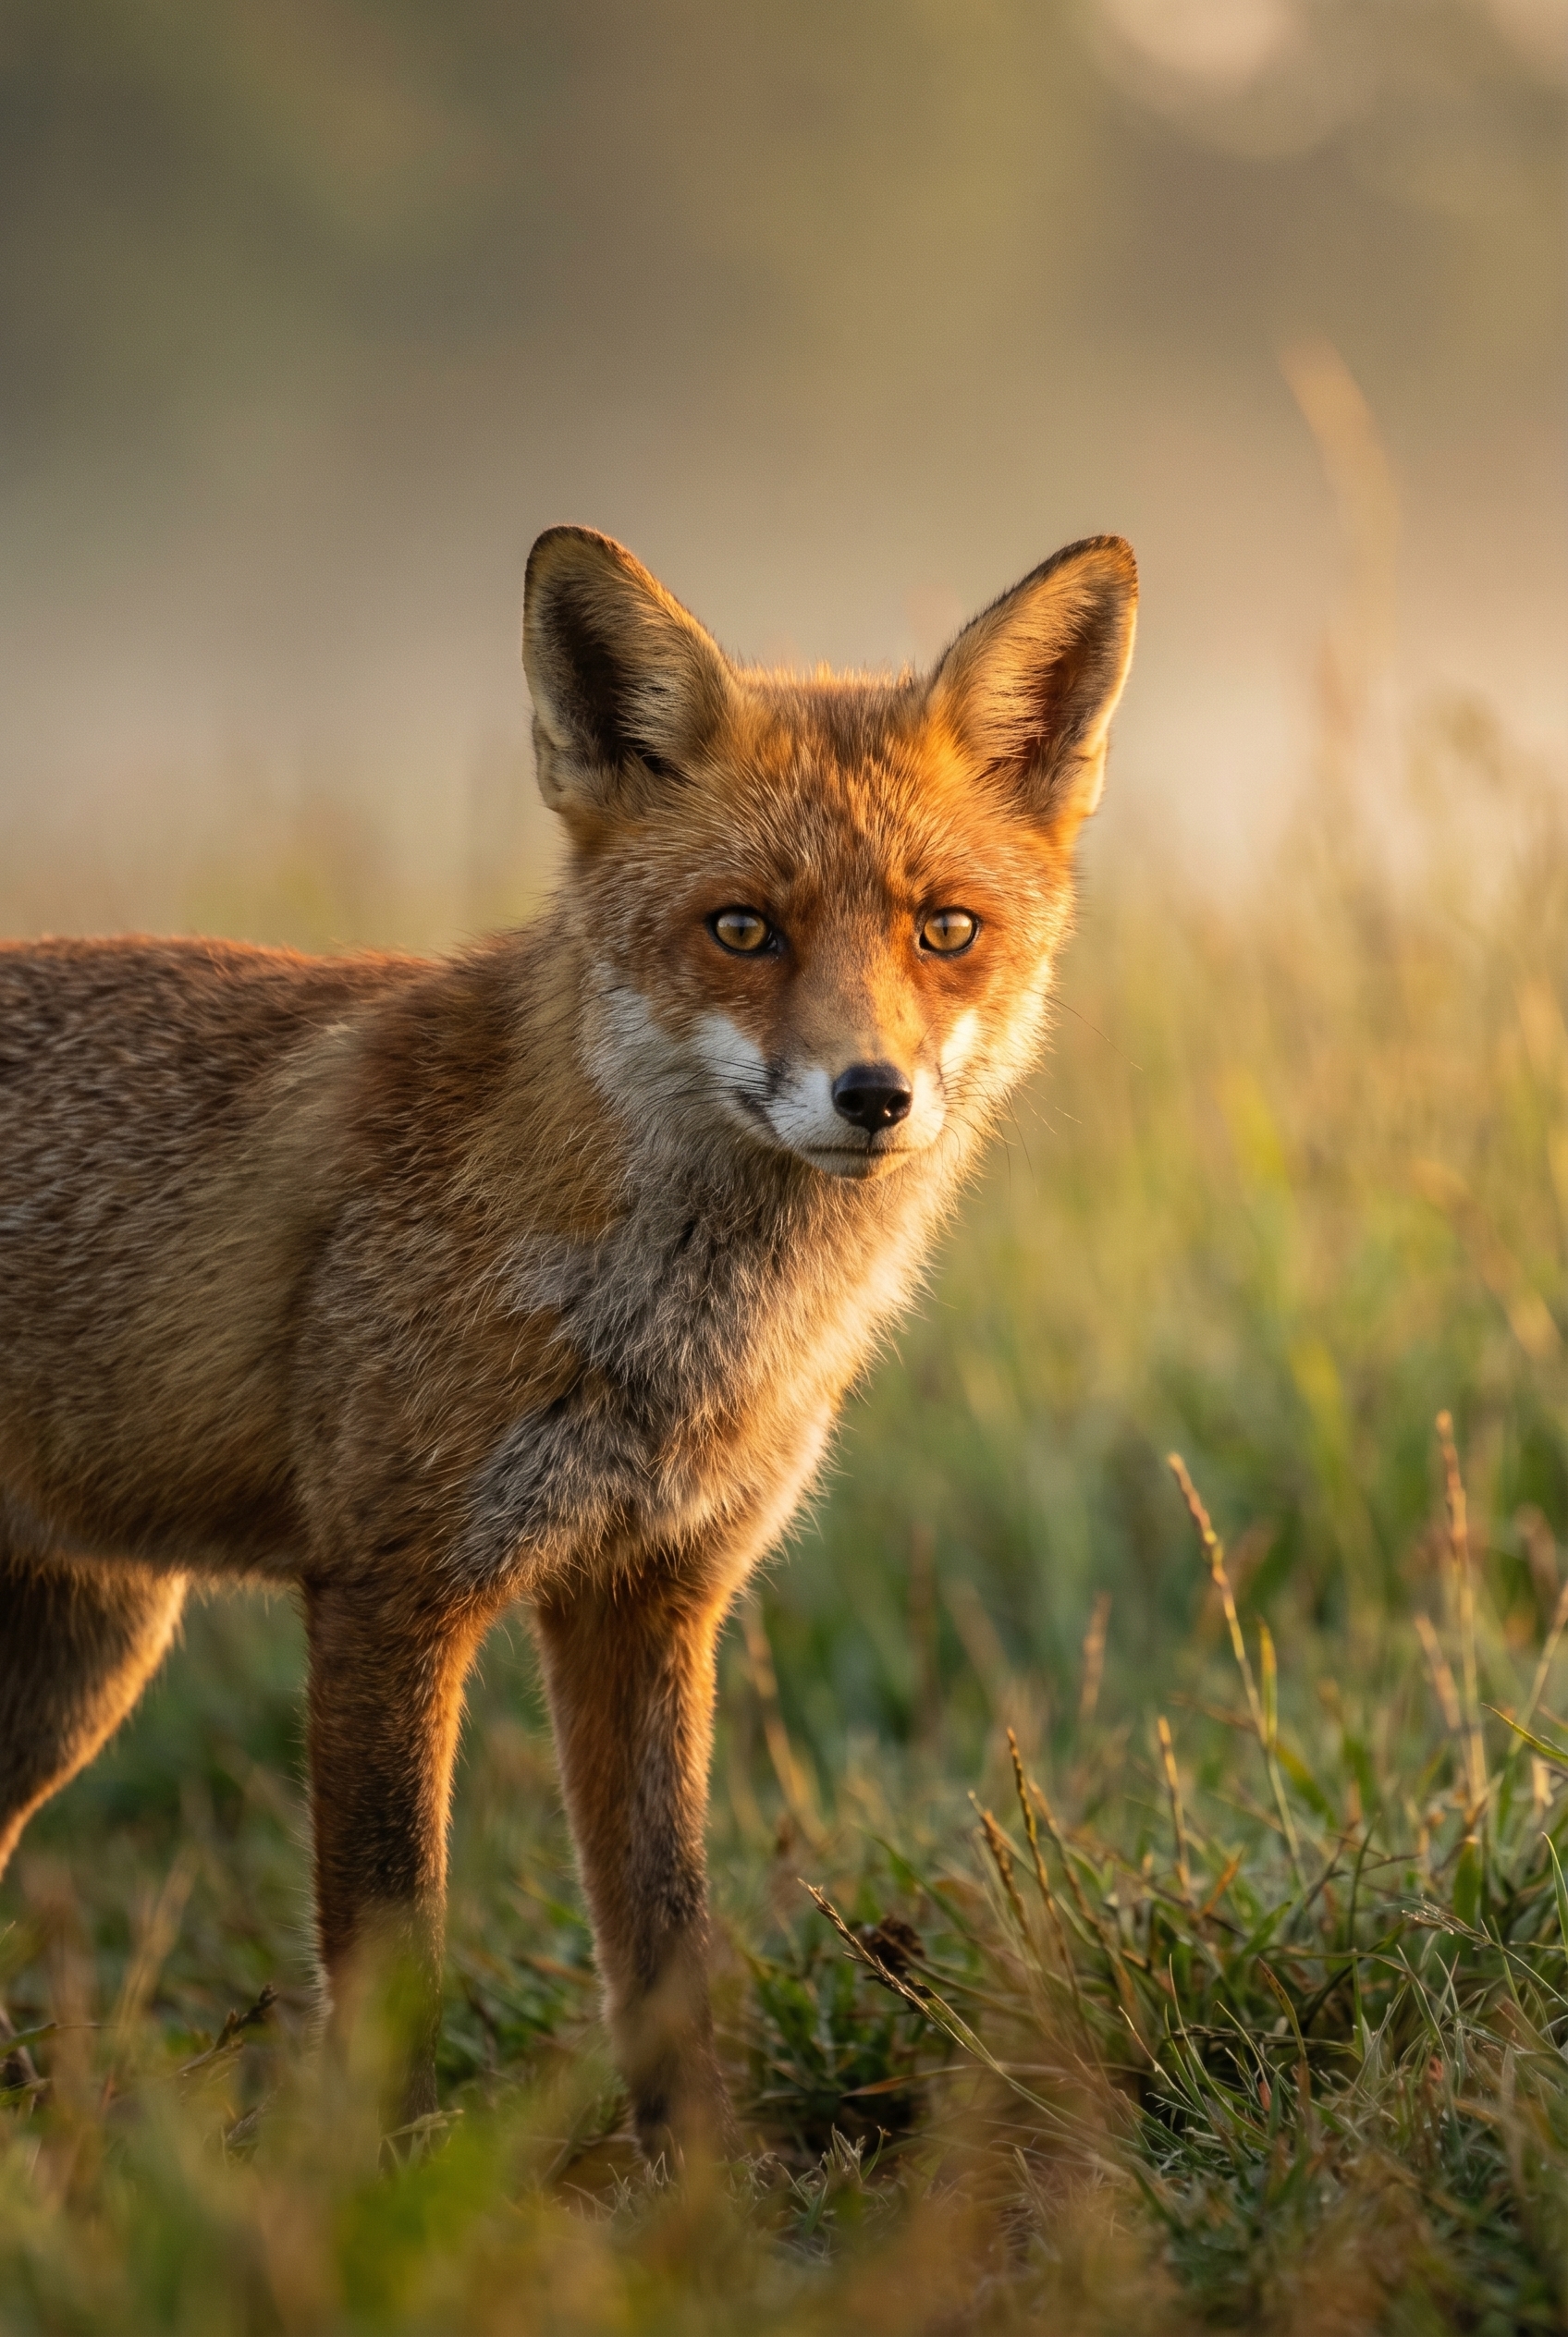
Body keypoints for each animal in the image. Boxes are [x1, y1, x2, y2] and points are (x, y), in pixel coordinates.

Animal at [0, 524, 1136, 2154]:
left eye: (946, 931)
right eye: (743, 929)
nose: (873, 1095)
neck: (671, 1337)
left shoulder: (649, 1596)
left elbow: (664, 1946)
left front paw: (708, 2188)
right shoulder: (390, 1591)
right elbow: (394, 1947)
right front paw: (391, 2183)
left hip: (79, 1665)